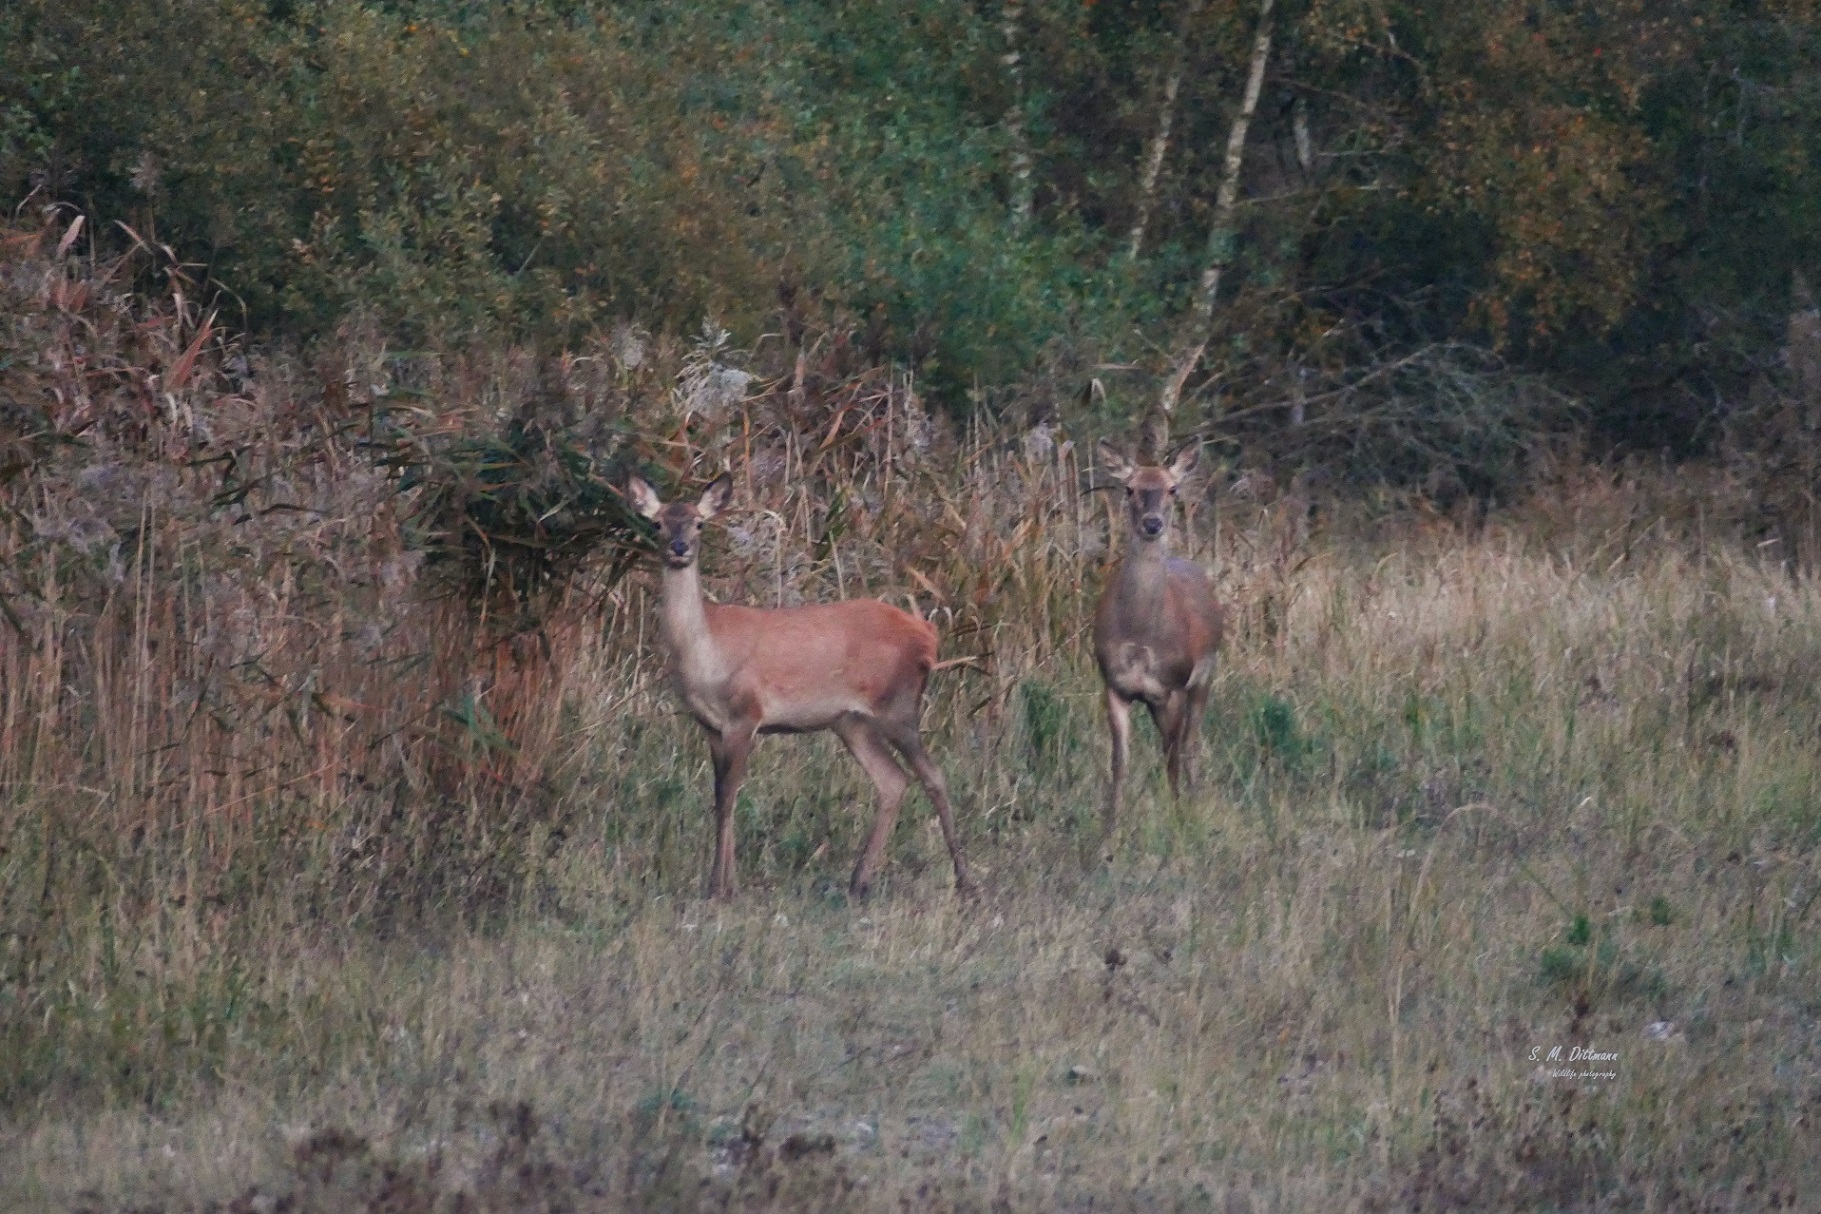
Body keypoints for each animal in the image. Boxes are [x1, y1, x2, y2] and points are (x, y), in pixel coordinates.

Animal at [626, 473, 976, 902]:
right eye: (657, 523)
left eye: (699, 523)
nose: (679, 548)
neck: (707, 655)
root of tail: (927, 634)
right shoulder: (709, 725)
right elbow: (721, 796)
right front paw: (726, 883)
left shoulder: (747, 714)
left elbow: (728, 798)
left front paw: (719, 889)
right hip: (850, 721)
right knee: (893, 780)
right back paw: (859, 881)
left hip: (898, 705)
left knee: (933, 776)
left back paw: (963, 881)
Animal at [1092, 438, 1223, 837]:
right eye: (1129, 488)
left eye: (1172, 488)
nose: (1152, 523)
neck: (1140, 636)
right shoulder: (1115, 685)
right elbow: (1119, 760)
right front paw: (1110, 827)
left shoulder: (1173, 685)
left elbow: (1172, 756)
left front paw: (1178, 819)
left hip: (1205, 676)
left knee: (1191, 743)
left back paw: (1194, 803)